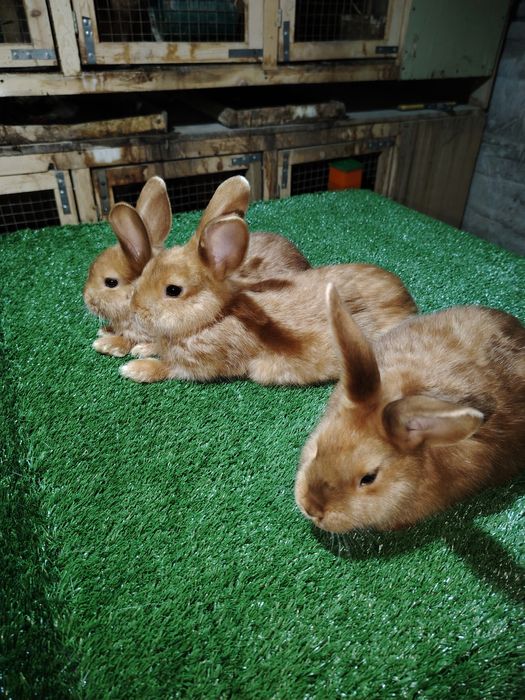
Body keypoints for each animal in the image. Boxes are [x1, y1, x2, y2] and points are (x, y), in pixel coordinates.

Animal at [120, 178, 417, 385]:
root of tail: (408, 302)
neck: (216, 316)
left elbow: (170, 368)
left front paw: (134, 369)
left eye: (173, 290)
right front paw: (142, 348)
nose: (134, 309)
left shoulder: (203, 363)